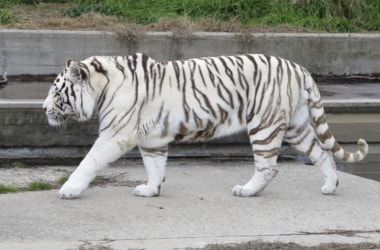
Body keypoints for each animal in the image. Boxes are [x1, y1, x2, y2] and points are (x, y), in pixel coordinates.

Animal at [42, 53, 368, 199]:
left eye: (57, 91)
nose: (43, 108)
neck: (104, 86)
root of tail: (300, 68)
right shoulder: (152, 139)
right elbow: (154, 166)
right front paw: (151, 190)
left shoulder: (115, 134)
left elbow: (90, 161)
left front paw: (69, 189)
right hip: (297, 127)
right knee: (322, 153)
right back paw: (330, 186)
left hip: (264, 125)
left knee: (268, 167)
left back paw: (246, 190)